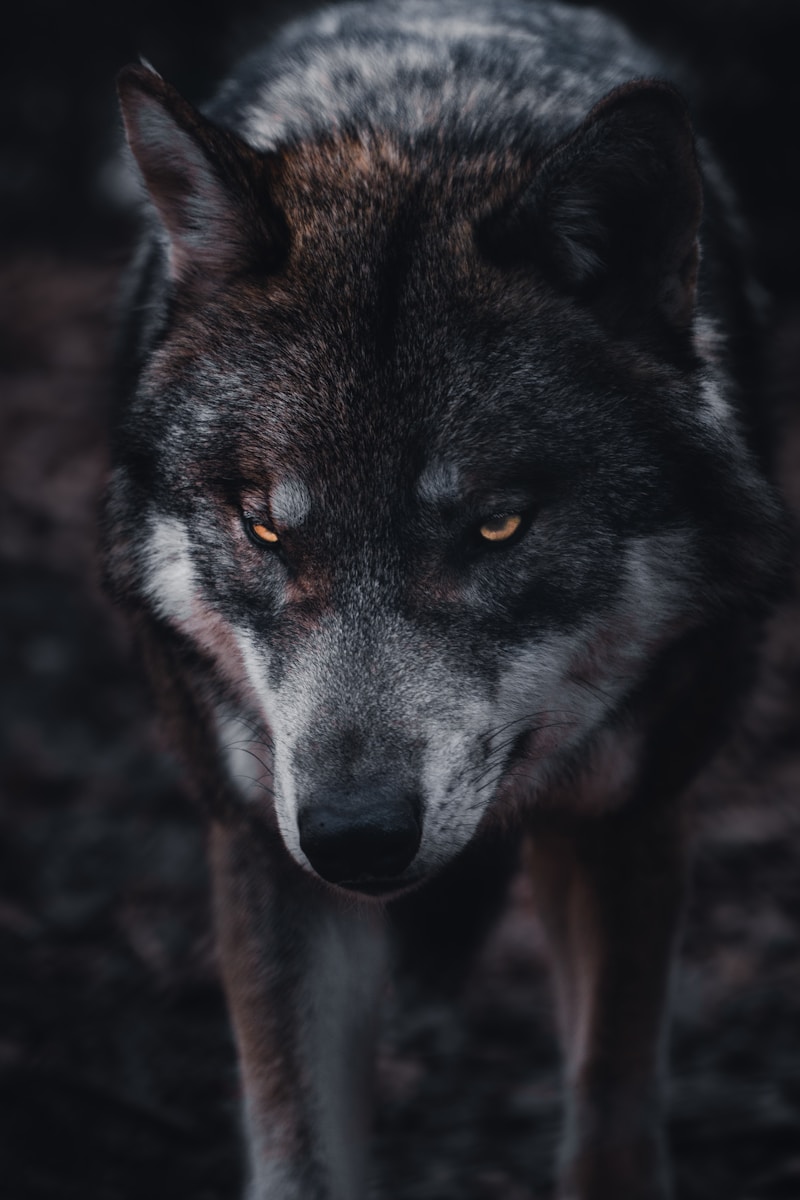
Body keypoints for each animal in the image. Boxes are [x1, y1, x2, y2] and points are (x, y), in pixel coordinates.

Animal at [106, 1, 787, 1196]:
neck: (419, 129)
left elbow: (611, 1112)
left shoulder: (631, 816)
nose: (353, 836)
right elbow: (299, 1151)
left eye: (496, 526)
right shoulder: (262, 844)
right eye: (266, 529)